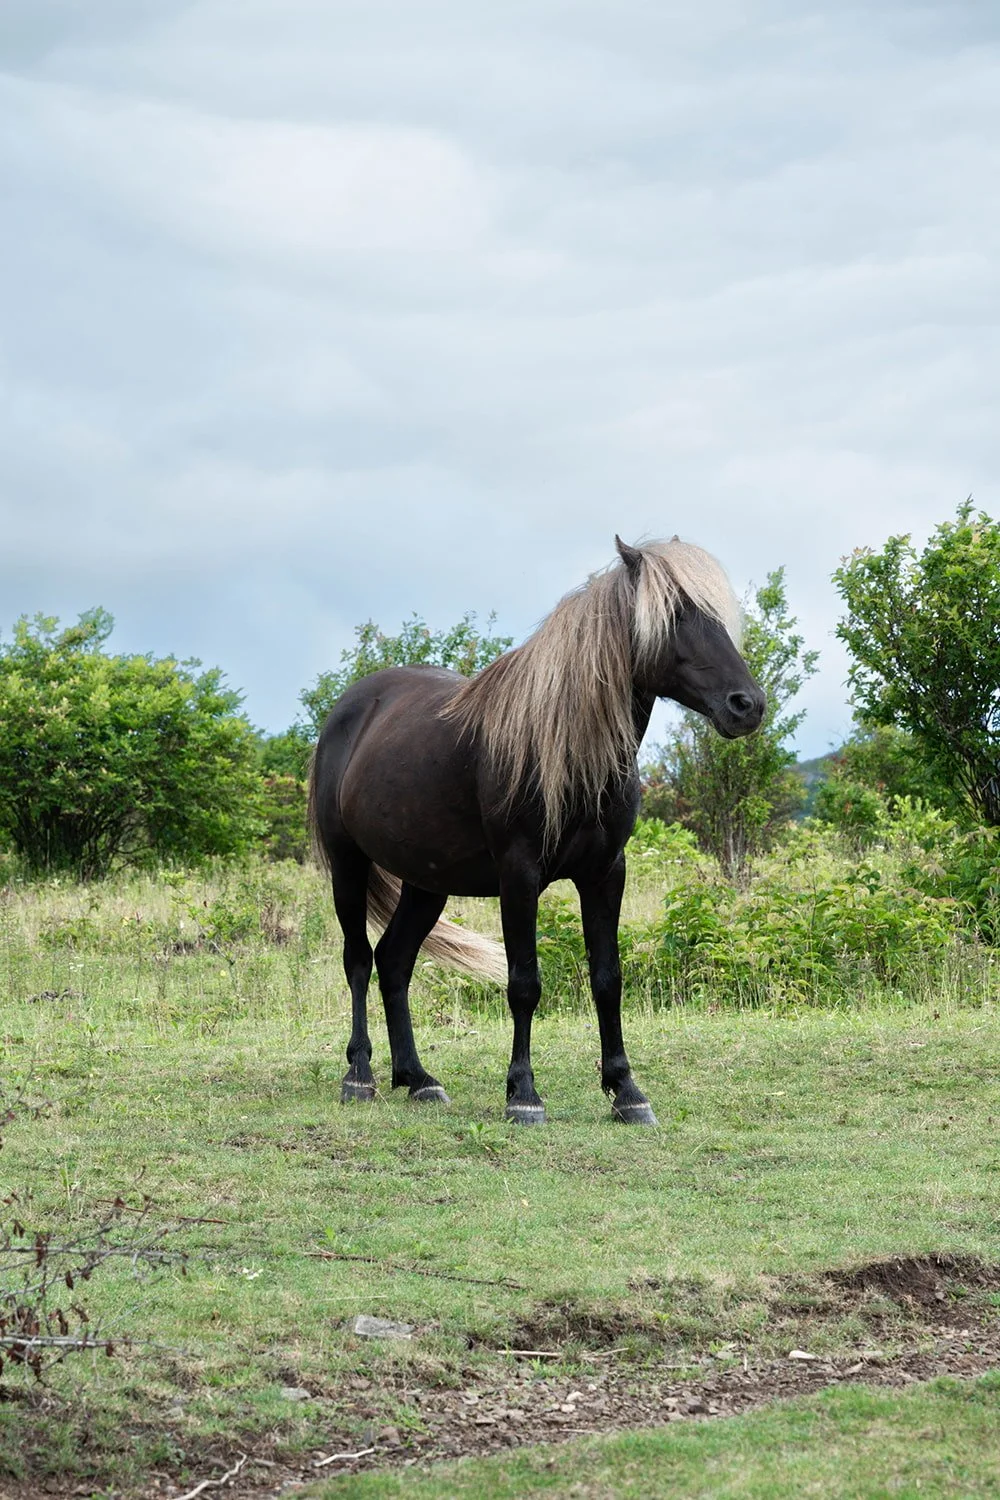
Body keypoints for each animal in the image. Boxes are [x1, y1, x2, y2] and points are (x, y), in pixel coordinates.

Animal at [308, 535, 765, 1126]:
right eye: (674, 615)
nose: (746, 705)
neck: (568, 747)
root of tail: (351, 707)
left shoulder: (605, 873)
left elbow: (607, 979)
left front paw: (627, 1091)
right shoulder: (519, 875)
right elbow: (524, 984)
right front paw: (523, 1094)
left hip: (426, 883)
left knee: (394, 962)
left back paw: (418, 1079)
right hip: (349, 866)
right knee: (360, 960)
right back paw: (359, 1076)